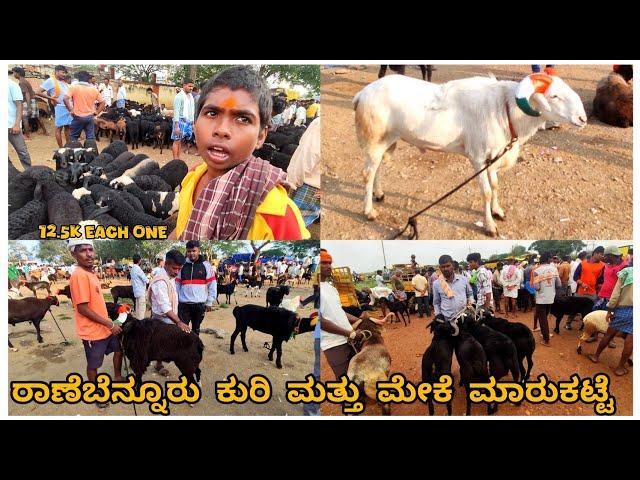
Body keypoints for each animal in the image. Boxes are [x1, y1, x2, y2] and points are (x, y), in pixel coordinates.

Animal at [352, 73, 588, 236]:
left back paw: (379, 194)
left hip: (389, 140)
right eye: (554, 96)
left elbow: (495, 186)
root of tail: (361, 94)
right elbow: (486, 192)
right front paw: (490, 226)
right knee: (367, 173)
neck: (504, 109)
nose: (583, 119)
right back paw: (369, 211)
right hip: (375, 138)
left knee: (378, 167)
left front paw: (497, 211)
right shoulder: (478, 157)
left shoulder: (493, 157)